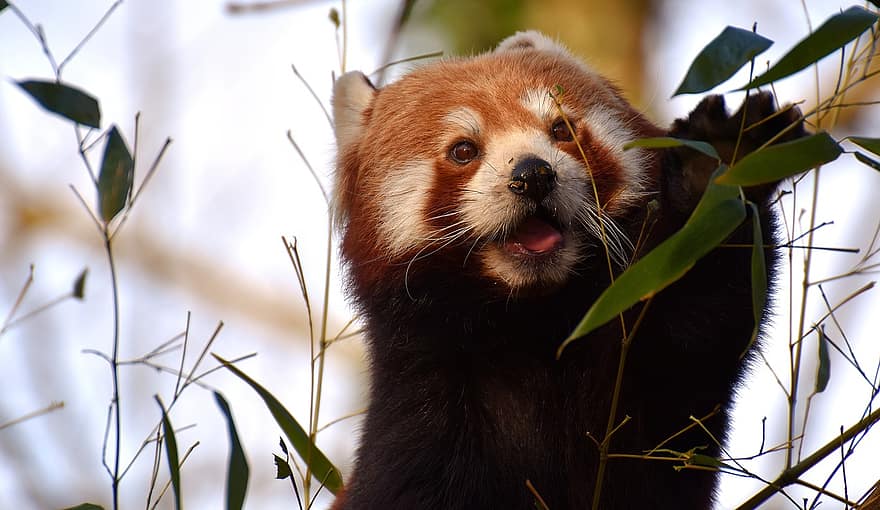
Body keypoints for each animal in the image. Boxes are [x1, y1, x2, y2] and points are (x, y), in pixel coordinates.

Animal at [330, 30, 804, 510]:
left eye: (561, 130)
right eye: (463, 150)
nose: (533, 175)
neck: (532, 329)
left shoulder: (642, 383)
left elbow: (701, 333)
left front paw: (717, 166)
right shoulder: (421, 409)